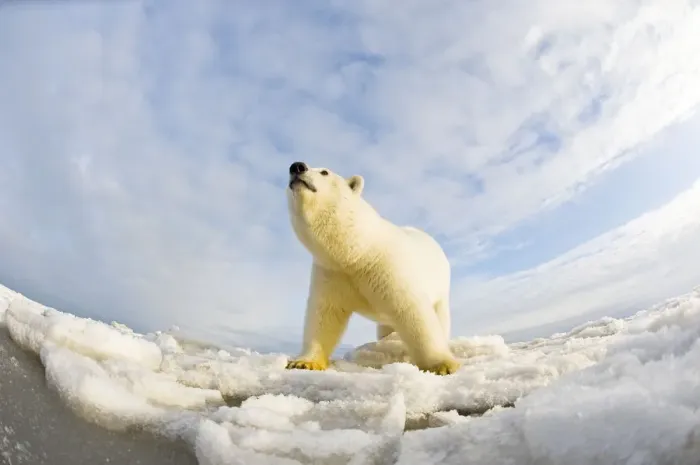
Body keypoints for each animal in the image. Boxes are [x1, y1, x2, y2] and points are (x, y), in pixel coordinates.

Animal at [284, 161, 460, 376]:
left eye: (325, 172)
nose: (297, 166)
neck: (358, 251)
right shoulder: (332, 273)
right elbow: (323, 315)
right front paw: (304, 362)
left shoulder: (387, 267)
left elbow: (413, 312)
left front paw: (442, 364)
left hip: (441, 288)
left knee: (440, 318)